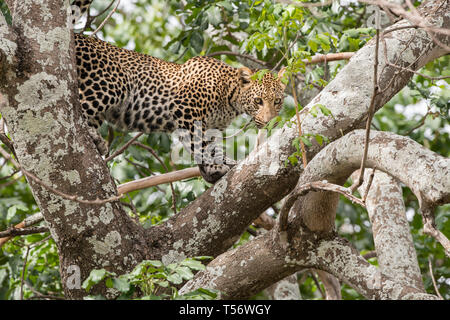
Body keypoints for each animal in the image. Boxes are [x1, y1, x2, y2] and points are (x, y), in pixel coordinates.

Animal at [72, 1, 286, 184]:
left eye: (277, 101)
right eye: (258, 101)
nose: (270, 122)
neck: (230, 96)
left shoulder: (211, 127)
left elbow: (211, 146)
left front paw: (217, 167)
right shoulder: (186, 109)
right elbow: (199, 143)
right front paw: (213, 167)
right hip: (111, 83)